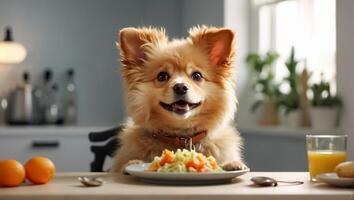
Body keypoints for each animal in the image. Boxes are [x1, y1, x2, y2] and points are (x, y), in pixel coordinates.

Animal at [112, 25, 245, 173]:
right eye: (162, 76)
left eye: (197, 75)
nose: (180, 87)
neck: (182, 137)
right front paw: (132, 163)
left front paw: (232, 164)